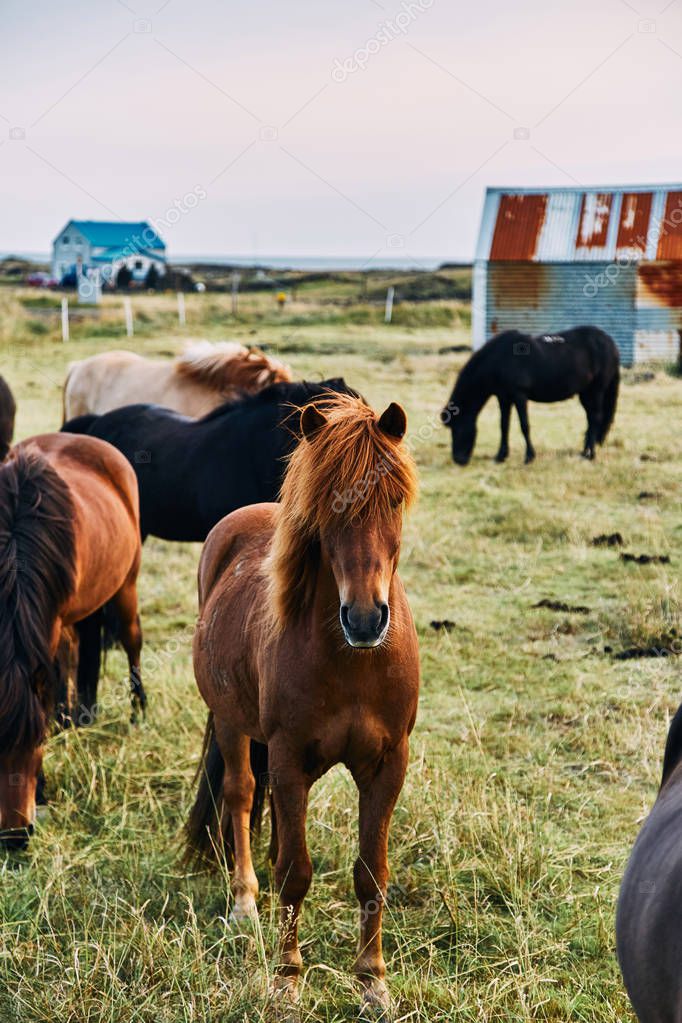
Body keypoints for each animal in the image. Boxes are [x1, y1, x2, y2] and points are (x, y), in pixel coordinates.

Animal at [0, 434, 144, 850]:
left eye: (35, 741)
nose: (13, 836)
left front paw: (42, 790)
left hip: (126, 585)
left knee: (132, 641)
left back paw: (136, 711)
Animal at [185, 393, 420, 1015]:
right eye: (327, 510)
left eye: (393, 499)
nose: (365, 618)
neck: (353, 663)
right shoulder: (290, 761)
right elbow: (296, 871)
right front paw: (287, 978)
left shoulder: (388, 764)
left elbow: (371, 871)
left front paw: (372, 981)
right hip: (231, 723)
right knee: (241, 795)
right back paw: (244, 900)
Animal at [441, 325, 620, 465]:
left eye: (457, 428)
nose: (458, 460)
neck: (499, 359)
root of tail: (608, 341)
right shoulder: (503, 397)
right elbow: (504, 425)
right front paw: (501, 456)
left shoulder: (519, 395)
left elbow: (524, 425)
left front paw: (529, 457)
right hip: (585, 392)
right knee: (590, 419)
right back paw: (584, 452)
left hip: (597, 390)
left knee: (595, 418)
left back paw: (590, 455)